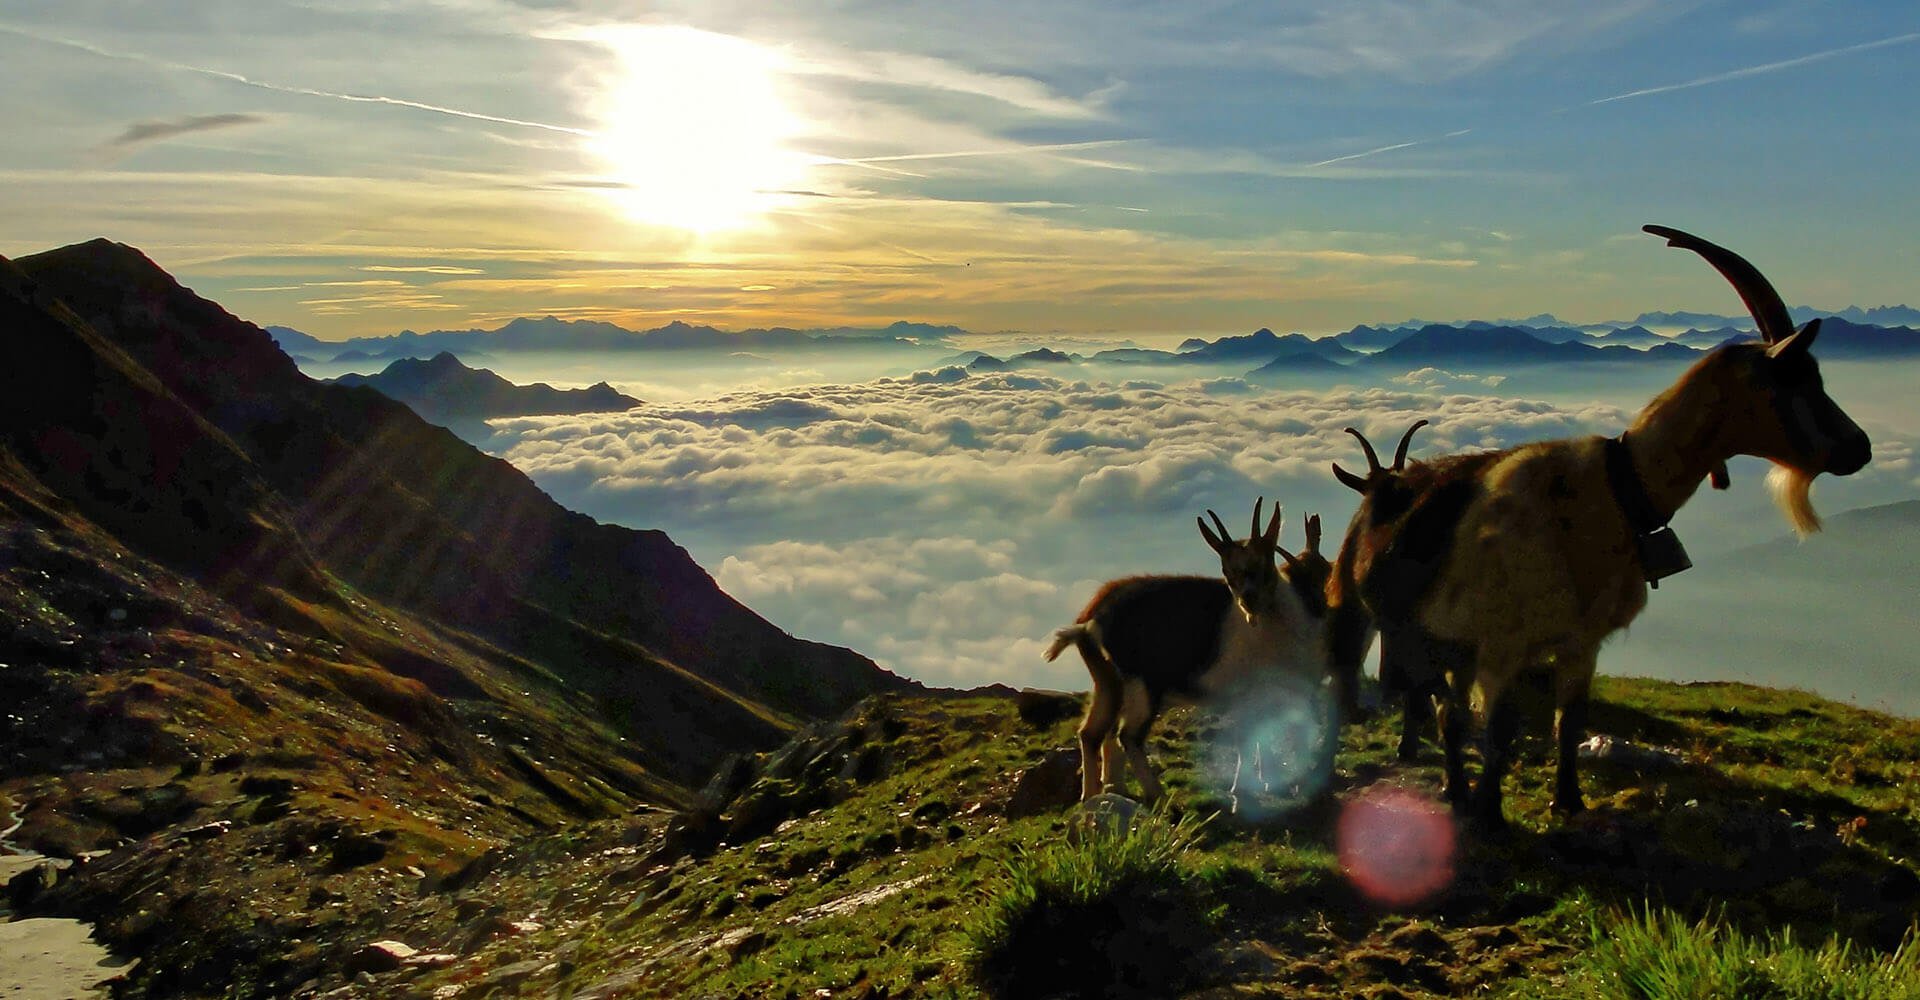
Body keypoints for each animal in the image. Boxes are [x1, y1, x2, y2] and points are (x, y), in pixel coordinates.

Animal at [1044, 495, 1328, 806]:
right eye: (1227, 572)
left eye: (1264, 563)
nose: (1248, 601)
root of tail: (1089, 622)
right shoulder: (1245, 691)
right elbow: (1248, 739)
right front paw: (1242, 789)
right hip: (1143, 684)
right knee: (1127, 735)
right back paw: (1156, 795)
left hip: (1107, 680)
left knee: (1092, 733)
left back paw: (1098, 795)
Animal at [1344, 226, 1866, 825]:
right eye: (1793, 378)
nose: (1861, 448)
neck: (1616, 490)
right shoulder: (1503, 645)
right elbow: (1499, 730)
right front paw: (1491, 814)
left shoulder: (1580, 644)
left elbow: (1568, 722)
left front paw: (1567, 801)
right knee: (1445, 711)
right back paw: (1457, 789)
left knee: (1448, 712)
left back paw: (1454, 788)